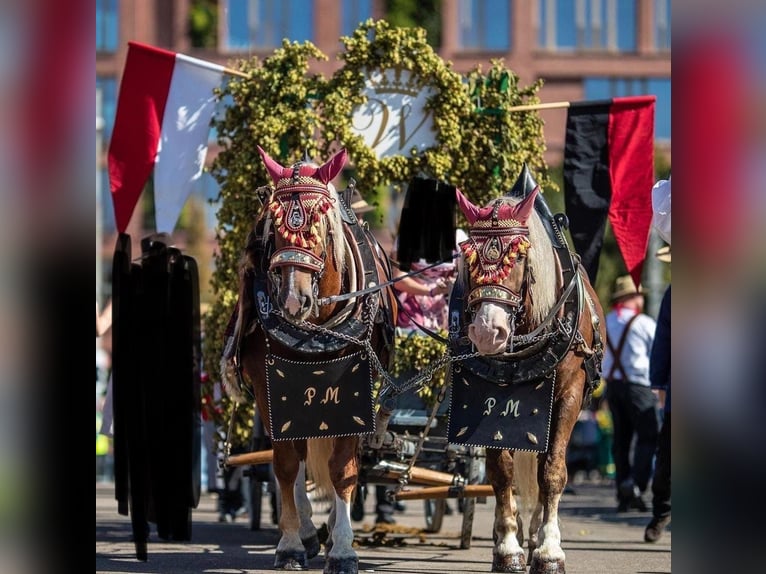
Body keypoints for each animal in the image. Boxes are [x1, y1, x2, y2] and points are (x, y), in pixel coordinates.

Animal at [226, 150, 396, 574]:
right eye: (272, 225)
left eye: (320, 222)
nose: (292, 299)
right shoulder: (272, 387)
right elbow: (287, 466)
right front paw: (290, 544)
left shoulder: (355, 387)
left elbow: (343, 468)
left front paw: (344, 548)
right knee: (298, 460)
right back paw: (305, 531)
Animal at [450, 173, 608, 572]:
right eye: (467, 257)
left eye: (519, 256)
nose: (487, 332)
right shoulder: (484, 404)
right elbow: (501, 471)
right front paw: (508, 547)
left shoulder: (568, 397)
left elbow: (551, 471)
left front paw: (550, 551)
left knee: (542, 464)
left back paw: (537, 533)